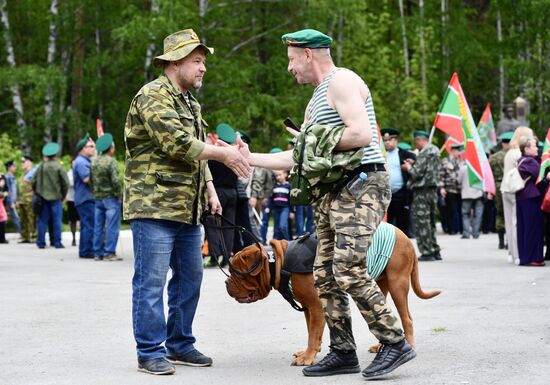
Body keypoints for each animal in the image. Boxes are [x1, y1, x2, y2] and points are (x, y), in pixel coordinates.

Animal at [226, 226, 442, 364]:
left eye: (237, 273)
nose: (226, 282)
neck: (279, 262)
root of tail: (405, 237)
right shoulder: (309, 308)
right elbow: (312, 332)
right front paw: (310, 353)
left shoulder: (315, 306)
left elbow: (313, 334)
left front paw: (308, 358)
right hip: (378, 285)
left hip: (398, 283)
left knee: (407, 318)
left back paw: (409, 346)